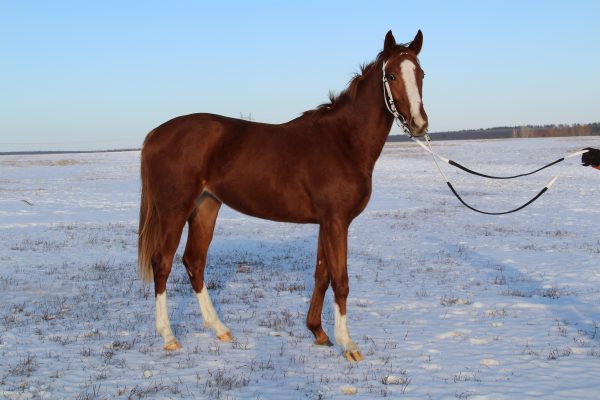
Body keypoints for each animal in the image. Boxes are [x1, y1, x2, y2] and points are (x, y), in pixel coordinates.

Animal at [137, 29, 426, 360]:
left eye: (421, 74)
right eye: (391, 75)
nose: (419, 124)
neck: (343, 142)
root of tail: (156, 134)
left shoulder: (326, 223)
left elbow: (322, 275)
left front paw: (318, 332)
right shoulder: (337, 221)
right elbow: (340, 280)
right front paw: (348, 345)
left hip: (206, 207)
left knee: (194, 262)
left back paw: (219, 328)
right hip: (174, 209)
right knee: (162, 263)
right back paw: (169, 336)